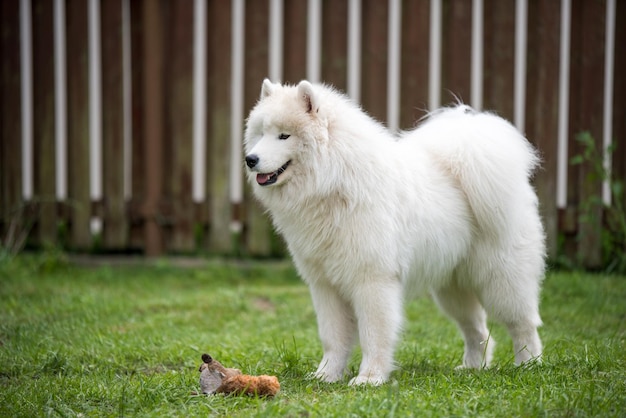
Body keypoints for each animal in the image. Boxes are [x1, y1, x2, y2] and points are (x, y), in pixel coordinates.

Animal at [243, 78, 540, 386]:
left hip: (501, 279)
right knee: (477, 329)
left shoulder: (373, 281)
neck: (334, 181)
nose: (250, 159)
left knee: (523, 323)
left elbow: (374, 335)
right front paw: (327, 375)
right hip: (452, 288)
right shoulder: (325, 286)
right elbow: (333, 337)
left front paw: (369, 378)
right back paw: (472, 367)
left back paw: (528, 364)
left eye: (284, 136)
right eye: (261, 133)